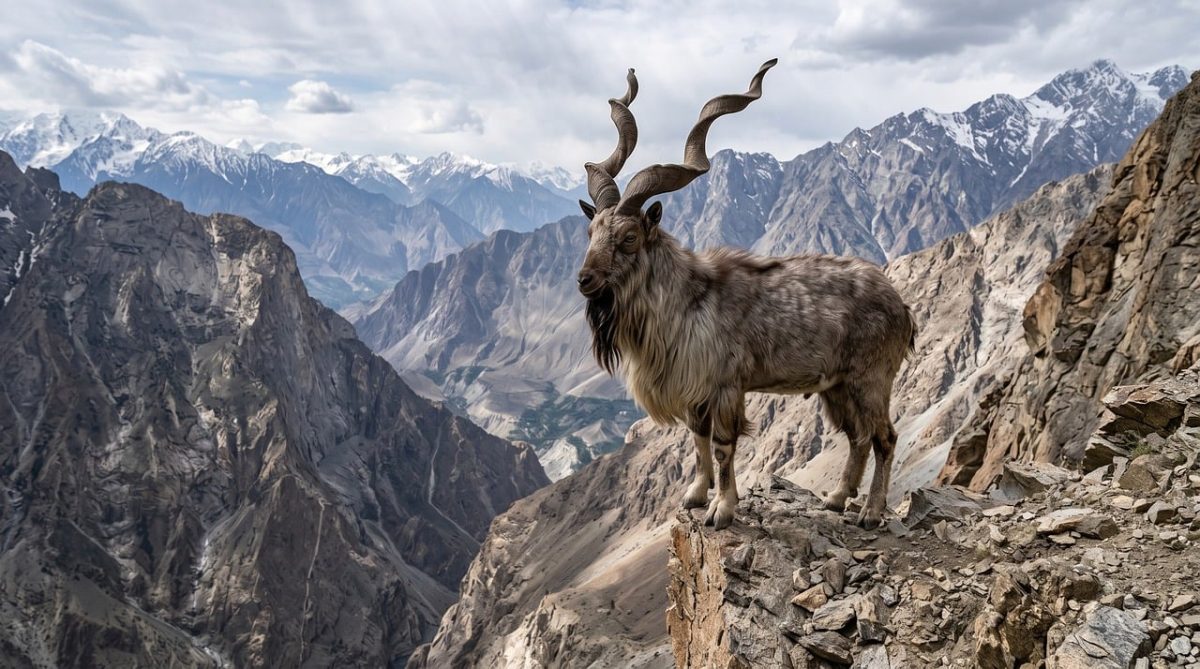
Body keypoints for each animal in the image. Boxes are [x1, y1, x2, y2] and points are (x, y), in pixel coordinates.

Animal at [576, 60, 917, 529]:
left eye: (628, 238)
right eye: (591, 231)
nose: (585, 279)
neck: (688, 299)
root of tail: (901, 305)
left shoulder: (725, 387)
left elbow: (722, 446)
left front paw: (722, 509)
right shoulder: (697, 394)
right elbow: (698, 441)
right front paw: (695, 495)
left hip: (871, 379)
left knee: (884, 436)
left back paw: (870, 511)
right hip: (837, 386)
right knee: (858, 436)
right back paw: (835, 498)